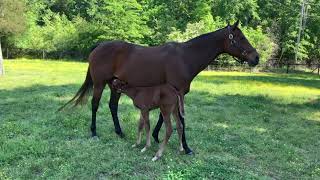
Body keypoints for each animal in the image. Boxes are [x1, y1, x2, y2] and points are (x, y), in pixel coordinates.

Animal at [58, 20, 258, 155]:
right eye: (240, 37)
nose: (256, 57)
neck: (185, 57)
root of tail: (99, 46)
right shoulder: (178, 93)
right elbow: (180, 120)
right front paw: (186, 148)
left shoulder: (171, 94)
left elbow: (164, 116)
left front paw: (155, 136)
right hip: (100, 84)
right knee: (95, 105)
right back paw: (94, 132)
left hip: (115, 86)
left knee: (112, 106)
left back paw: (120, 132)